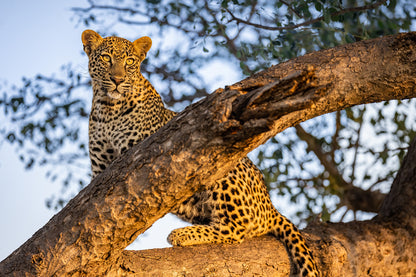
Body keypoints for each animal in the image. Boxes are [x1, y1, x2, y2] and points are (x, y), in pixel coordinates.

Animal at [82, 29, 322, 274]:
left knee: (237, 229)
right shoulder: (101, 170)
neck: (108, 109)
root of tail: (270, 205)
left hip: (225, 167)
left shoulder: (140, 159)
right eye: (106, 58)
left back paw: (181, 234)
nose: (117, 80)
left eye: (130, 62)